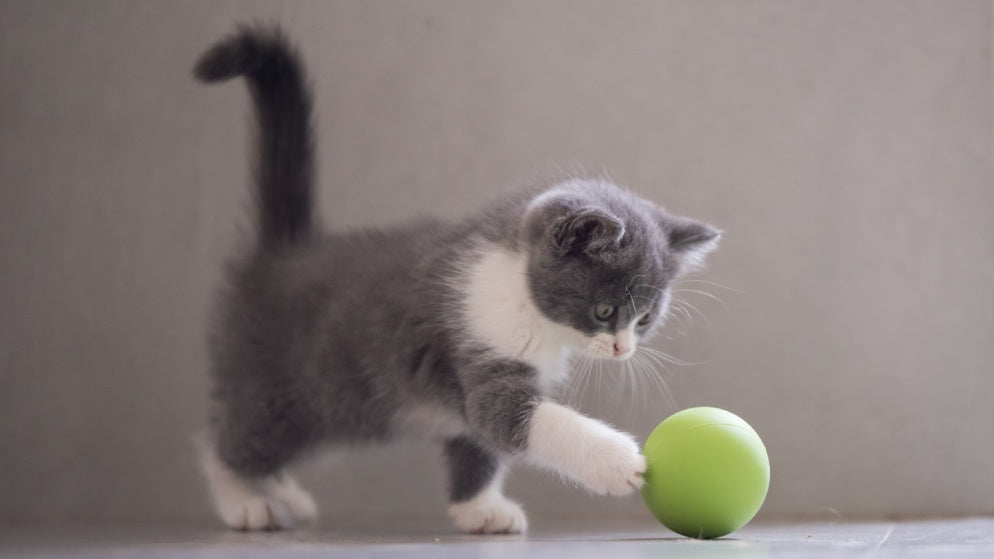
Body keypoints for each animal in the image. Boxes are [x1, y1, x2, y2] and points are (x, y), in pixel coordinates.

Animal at [196, 27, 720, 540]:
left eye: (645, 319)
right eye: (605, 311)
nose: (622, 349)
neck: (522, 297)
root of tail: (284, 252)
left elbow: (478, 443)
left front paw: (479, 509)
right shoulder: (478, 343)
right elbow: (517, 419)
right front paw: (617, 460)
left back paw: (287, 495)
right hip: (297, 391)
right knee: (229, 441)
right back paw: (246, 502)